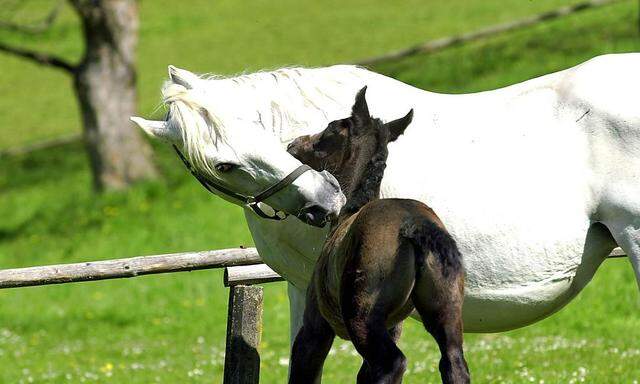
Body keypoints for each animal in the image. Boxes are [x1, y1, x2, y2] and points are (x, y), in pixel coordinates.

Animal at [288, 88, 468, 384]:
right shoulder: (394, 326)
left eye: (330, 129)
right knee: (453, 362)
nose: (293, 144)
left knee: (393, 363)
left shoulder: (315, 326)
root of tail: (414, 223)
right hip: (446, 311)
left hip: (362, 317)